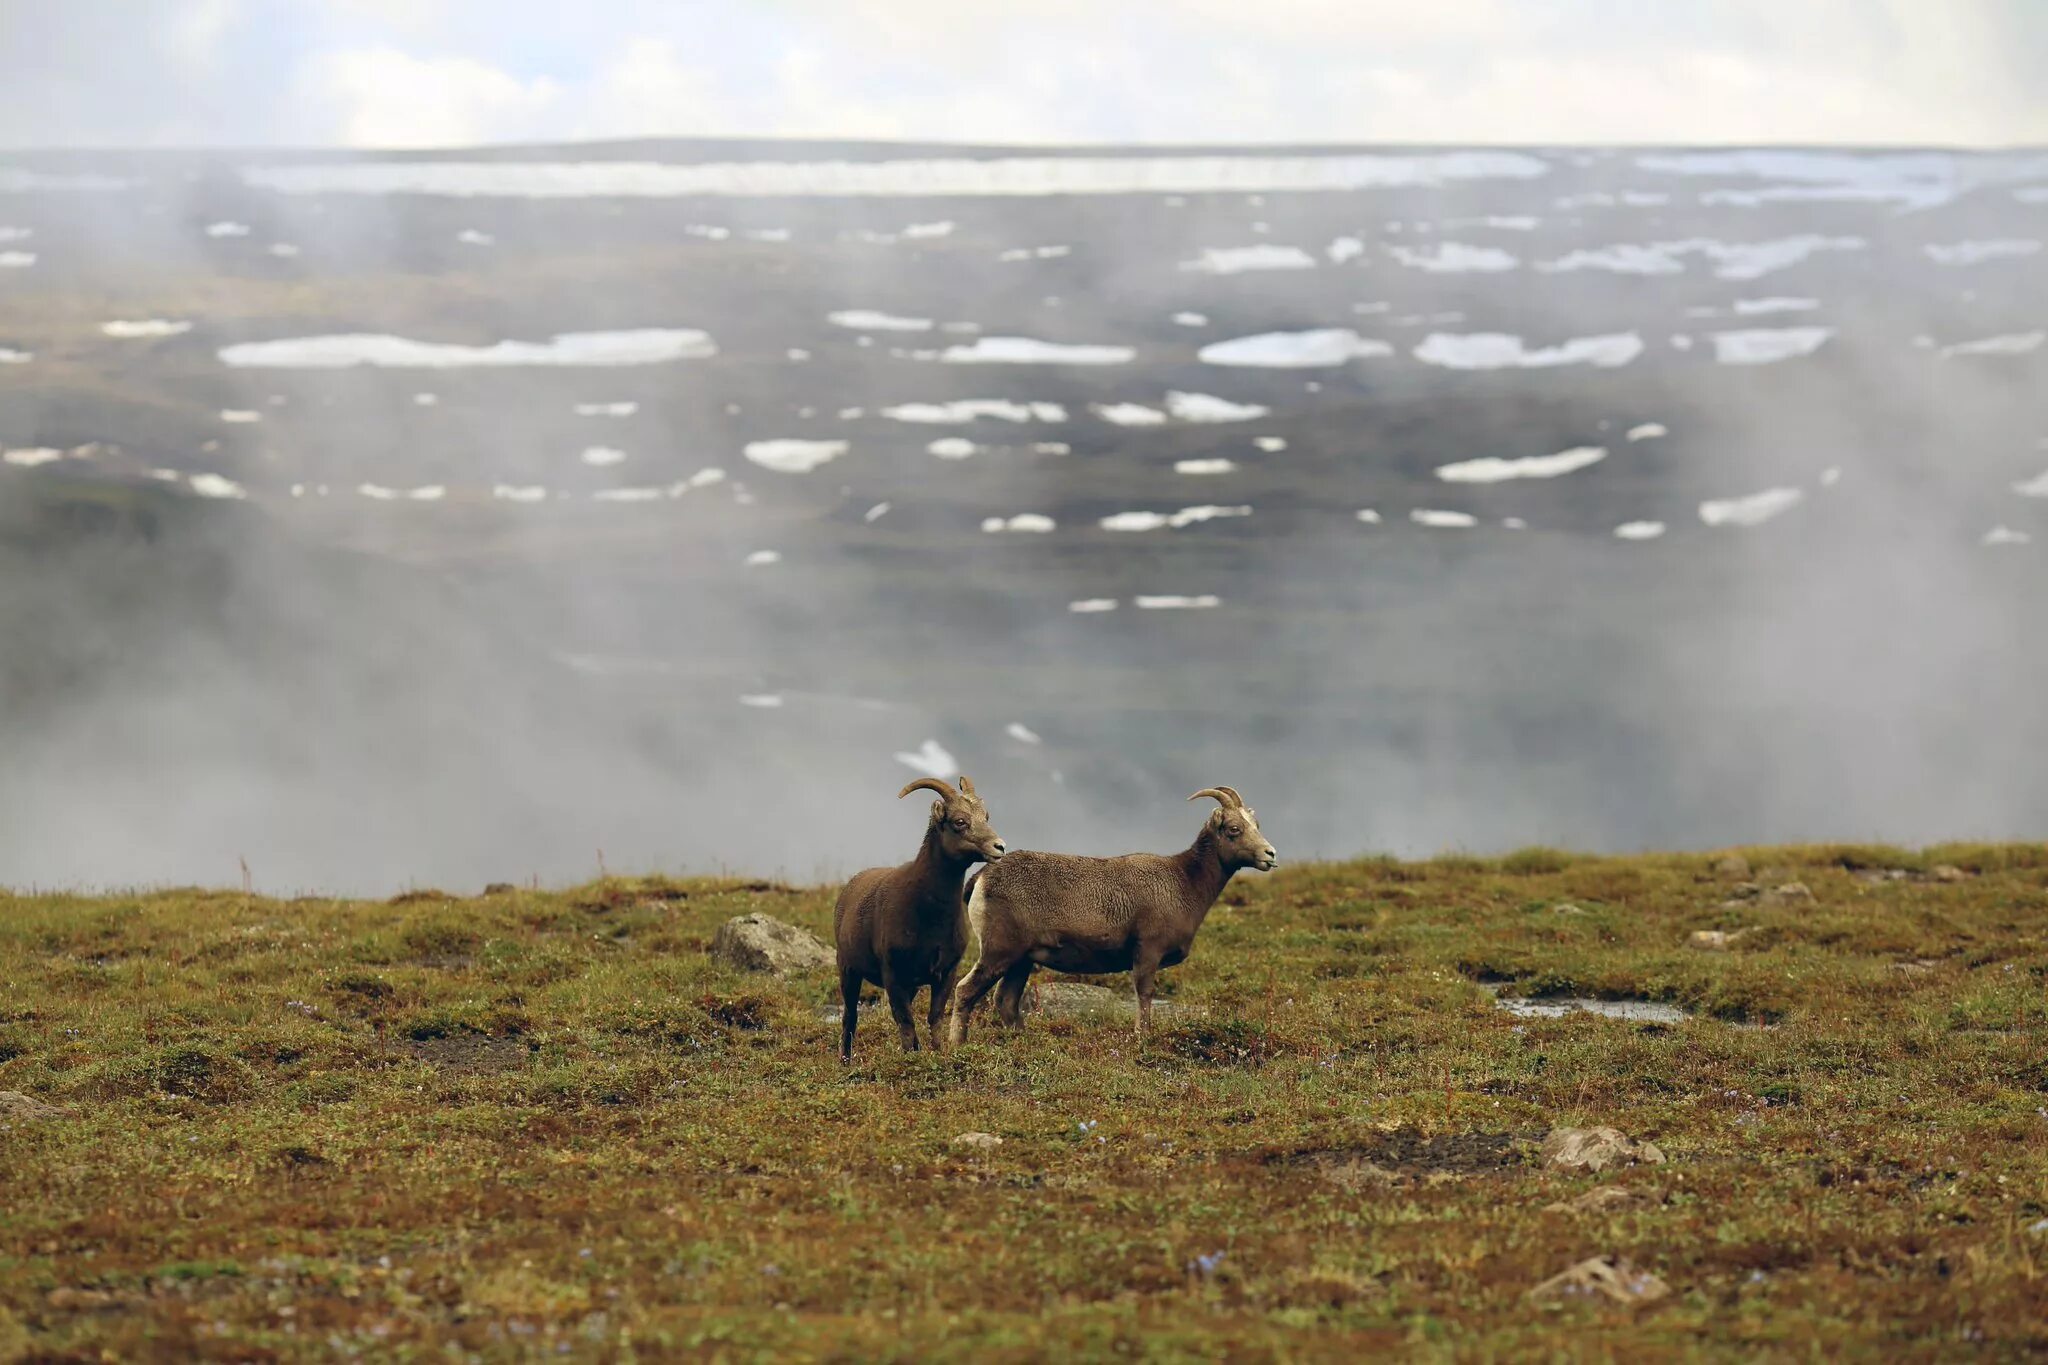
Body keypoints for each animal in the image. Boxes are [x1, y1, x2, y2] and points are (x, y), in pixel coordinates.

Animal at [831, 777, 1007, 1055]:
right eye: (959, 821)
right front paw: (911, 1056)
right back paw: (845, 1059)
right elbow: (905, 1022)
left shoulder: (945, 973)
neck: (928, 917)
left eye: (986, 816)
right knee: (849, 1018)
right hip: (848, 969)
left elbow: (934, 1018)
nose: (999, 846)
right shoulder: (893, 974)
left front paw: (935, 1051)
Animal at [946, 777, 1269, 1047]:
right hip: (998, 953)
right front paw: (1141, 1036)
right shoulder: (1147, 953)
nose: (1270, 854)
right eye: (1234, 829)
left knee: (1006, 1001)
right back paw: (956, 1045)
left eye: (1256, 825)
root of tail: (981, 878)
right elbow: (1144, 994)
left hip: (1020, 961)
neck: (1183, 882)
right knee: (964, 990)